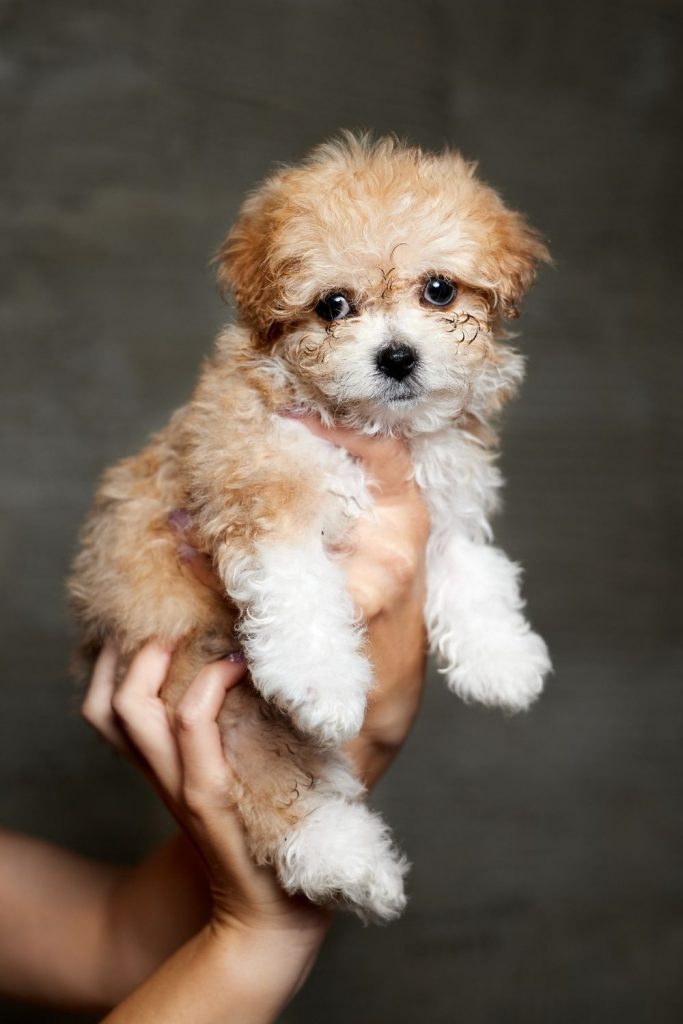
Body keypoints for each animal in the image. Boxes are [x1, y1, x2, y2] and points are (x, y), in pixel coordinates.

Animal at [68, 132, 548, 925]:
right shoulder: (259, 490)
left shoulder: (442, 501)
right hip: (197, 669)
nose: (396, 357)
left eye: (439, 291)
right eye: (333, 306)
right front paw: (321, 679)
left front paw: (500, 657)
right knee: (264, 776)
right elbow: (298, 591)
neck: (371, 427)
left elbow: (473, 569)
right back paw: (342, 858)